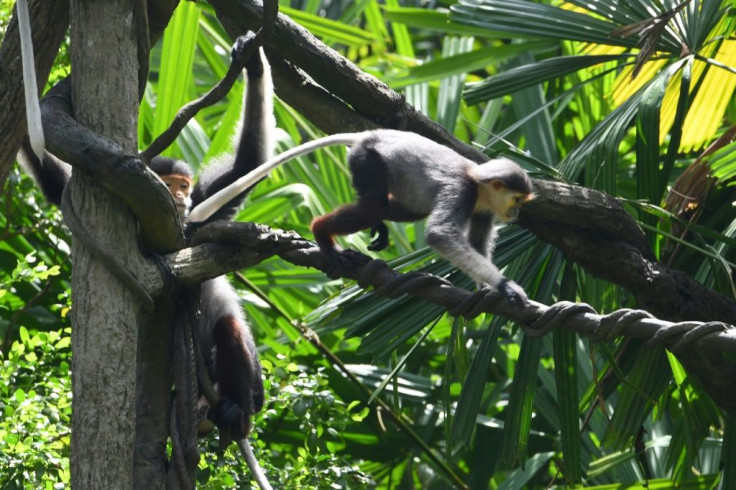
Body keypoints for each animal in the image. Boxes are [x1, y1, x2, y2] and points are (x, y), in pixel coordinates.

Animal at [188, 130, 536, 306]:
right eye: (518, 200)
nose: (518, 213)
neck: (477, 183)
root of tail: (372, 133)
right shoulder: (461, 192)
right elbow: (439, 234)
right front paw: (505, 285)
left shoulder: (484, 208)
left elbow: (476, 242)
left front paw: (488, 288)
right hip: (366, 159)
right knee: (374, 206)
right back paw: (322, 233)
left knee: (391, 207)